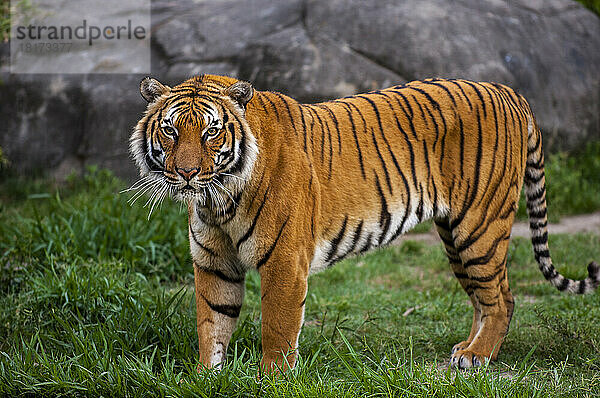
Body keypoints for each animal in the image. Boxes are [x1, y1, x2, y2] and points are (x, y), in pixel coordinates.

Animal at [129, 74, 596, 374]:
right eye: (170, 131)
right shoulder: (214, 263)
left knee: (503, 298)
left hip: (479, 227)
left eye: (210, 132)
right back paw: (468, 348)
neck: (218, 199)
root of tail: (508, 91)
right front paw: (205, 377)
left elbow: (277, 329)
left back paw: (477, 356)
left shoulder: (284, 262)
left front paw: (270, 381)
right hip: (455, 236)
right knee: (485, 298)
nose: (186, 173)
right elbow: (212, 323)